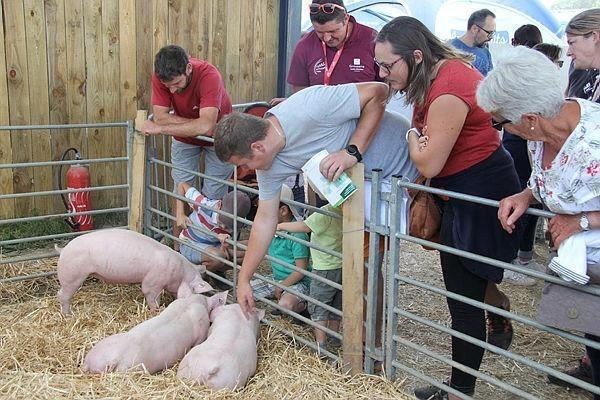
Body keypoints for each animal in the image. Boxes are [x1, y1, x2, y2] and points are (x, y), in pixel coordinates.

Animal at [54, 228, 213, 316]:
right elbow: (150, 295)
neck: (179, 273)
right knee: (61, 294)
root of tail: (63, 250)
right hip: (72, 276)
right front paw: (156, 310)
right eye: (196, 290)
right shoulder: (152, 282)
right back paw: (68, 315)